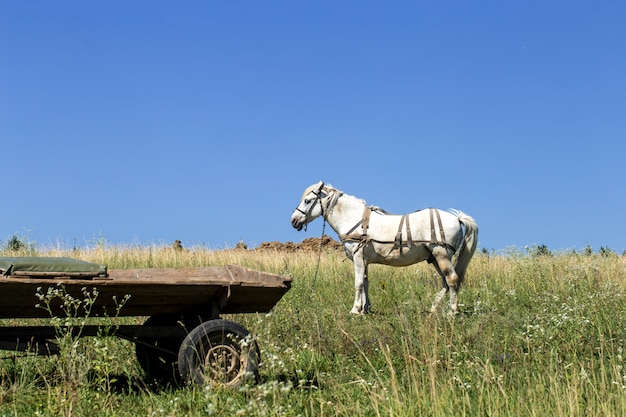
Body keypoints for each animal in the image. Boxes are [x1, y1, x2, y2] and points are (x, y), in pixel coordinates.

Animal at [288, 180, 478, 314]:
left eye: (308, 200)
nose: (294, 220)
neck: (354, 218)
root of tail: (457, 218)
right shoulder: (364, 260)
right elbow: (365, 282)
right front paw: (365, 308)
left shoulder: (358, 257)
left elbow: (358, 283)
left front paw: (355, 309)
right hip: (435, 259)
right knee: (446, 282)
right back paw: (433, 309)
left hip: (442, 255)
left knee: (452, 279)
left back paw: (451, 312)